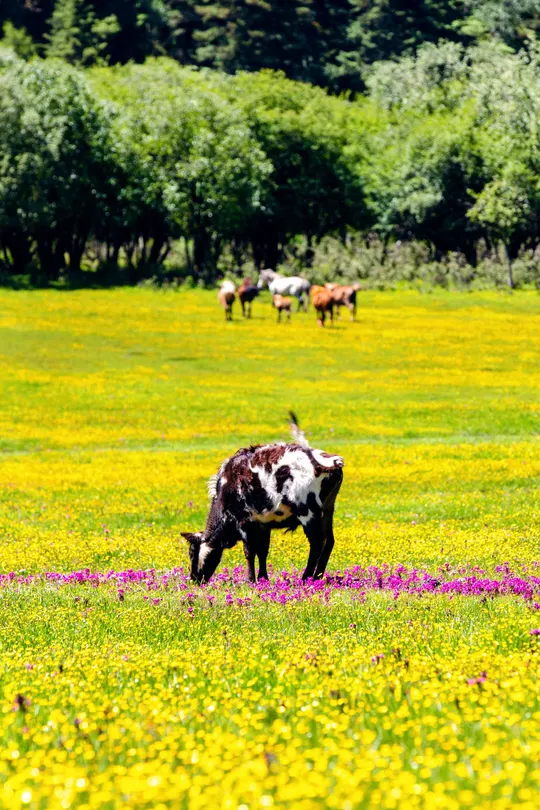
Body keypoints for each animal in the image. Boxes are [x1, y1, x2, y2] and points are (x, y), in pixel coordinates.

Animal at [182, 414, 343, 584]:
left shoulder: (245, 522)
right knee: (329, 541)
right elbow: (263, 551)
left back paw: (306, 577)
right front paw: (263, 577)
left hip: (308, 513)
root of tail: (328, 462)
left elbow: (249, 551)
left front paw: (251, 579)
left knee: (317, 542)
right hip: (328, 510)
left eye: (191, 553)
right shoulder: (263, 523)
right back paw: (318, 576)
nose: (194, 579)